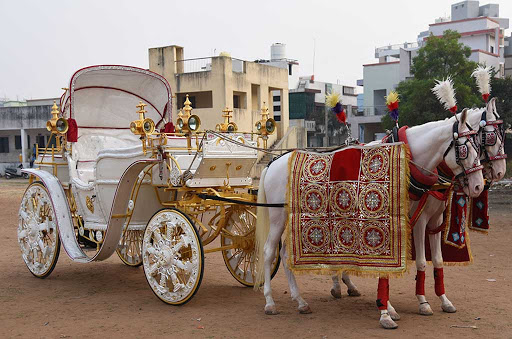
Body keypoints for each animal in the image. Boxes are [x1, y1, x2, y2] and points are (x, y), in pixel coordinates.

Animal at [254, 109, 486, 330]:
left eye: (479, 146)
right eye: (465, 150)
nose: (478, 186)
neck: (407, 160)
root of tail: (273, 162)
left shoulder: (416, 219)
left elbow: (428, 260)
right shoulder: (391, 221)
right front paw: (390, 310)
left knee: (285, 253)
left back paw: (300, 301)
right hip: (277, 217)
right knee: (269, 252)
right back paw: (269, 302)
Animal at [330, 100, 506, 326]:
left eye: (478, 142)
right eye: (489, 137)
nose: (479, 186)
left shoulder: (435, 220)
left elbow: (437, 260)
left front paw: (443, 300)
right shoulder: (416, 221)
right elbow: (419, 261)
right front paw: (420, 303)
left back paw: (347, 284)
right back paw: (337, 285)